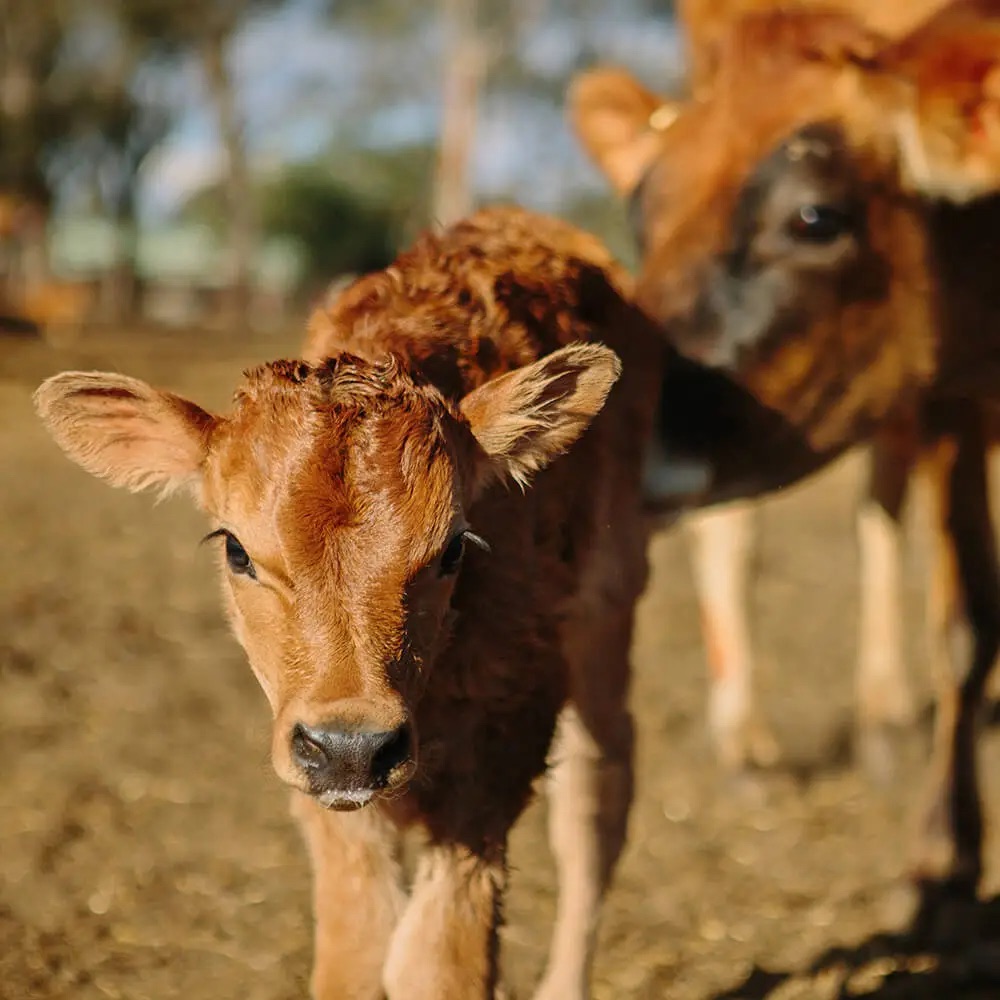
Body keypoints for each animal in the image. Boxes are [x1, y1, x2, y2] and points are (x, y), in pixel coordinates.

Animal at [33, 206, 814, 998]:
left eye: (454, 549)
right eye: (235, 551)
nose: (352, 747)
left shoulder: (499, 754)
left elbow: (440, 959)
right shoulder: (325, 793)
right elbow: (358, 947)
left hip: (608, 605)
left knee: (597, 799)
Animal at [569, 0, 1000, 913]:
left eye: (815, 218)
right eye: (642, 219)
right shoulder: (947, 387)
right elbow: (965, 622)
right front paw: (946, 852)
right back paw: (760, 745)